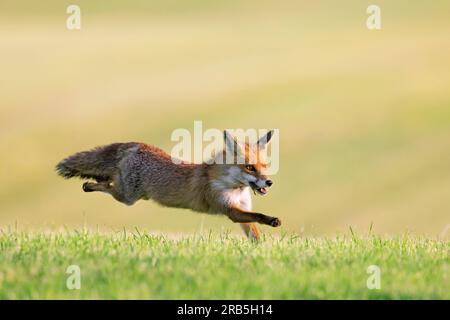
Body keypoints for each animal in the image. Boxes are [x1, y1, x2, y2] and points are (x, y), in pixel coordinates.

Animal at [55, 130, 282, 240]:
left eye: (265, 165)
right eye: (250, 167)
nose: (269, 182)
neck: (234, 188)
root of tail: (137, 145)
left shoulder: (242, 209)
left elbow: (254, 233)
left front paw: (259, 253)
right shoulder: (230, 210)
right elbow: (258, 216)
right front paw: (272, 220)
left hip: (130, 191)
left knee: (107, 178)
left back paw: (96, 181)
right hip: (128, 197)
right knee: (106, 186)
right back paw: (89, 185)